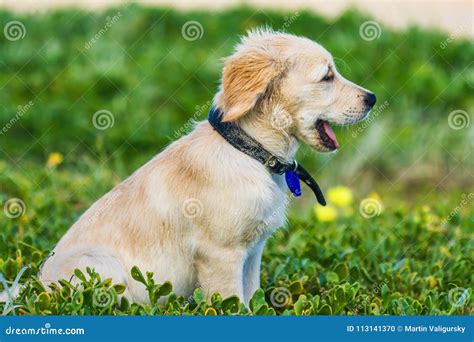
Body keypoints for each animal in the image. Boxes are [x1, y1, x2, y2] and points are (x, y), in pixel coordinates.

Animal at [37, 28, 376, 304]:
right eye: (327, 77)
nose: (372, 98)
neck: (249, 150)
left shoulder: (252, 253)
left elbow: (252, 298)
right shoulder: (221, 256)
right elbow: (234, 305)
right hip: (103, 266)